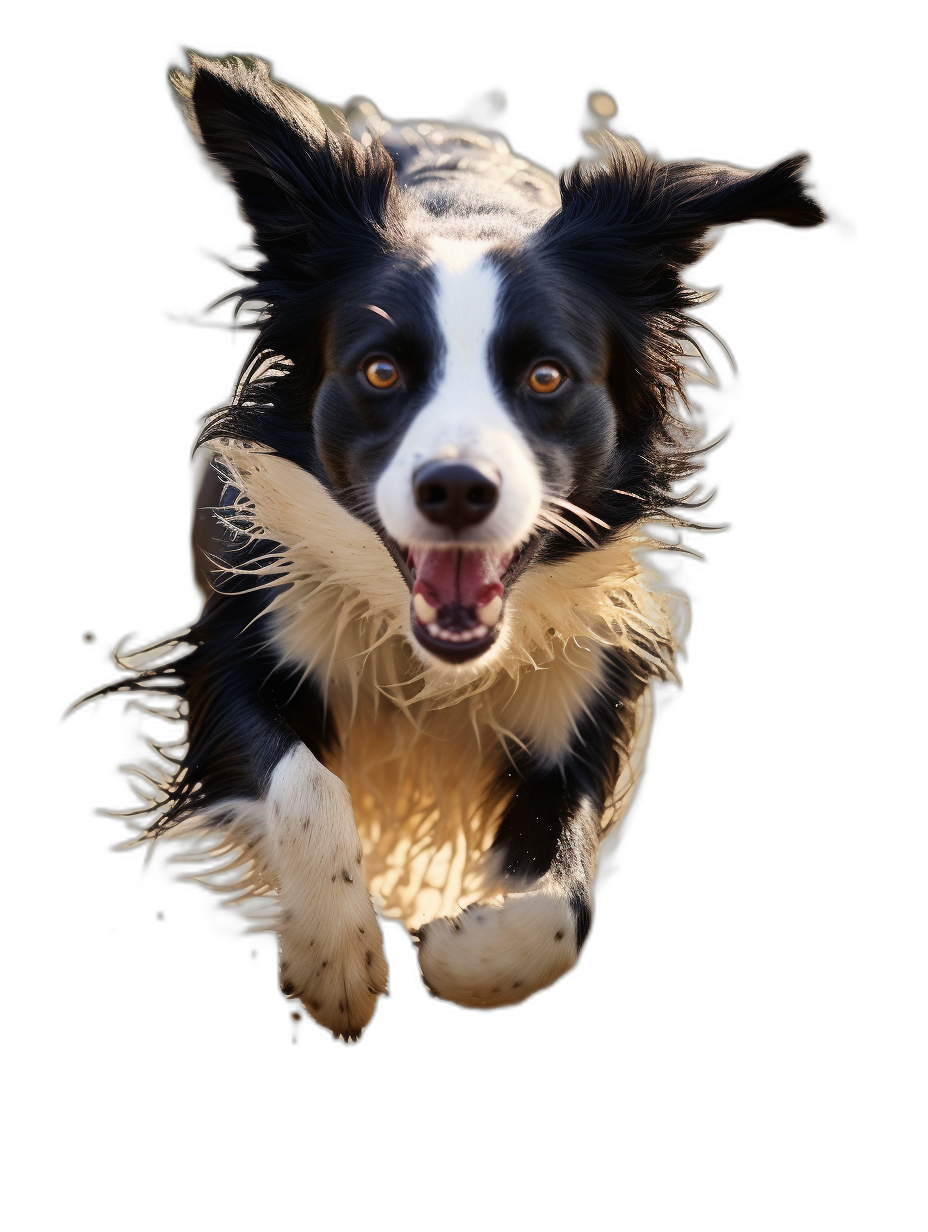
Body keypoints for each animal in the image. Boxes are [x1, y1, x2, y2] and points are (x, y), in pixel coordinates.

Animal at [88, 57, 823, 1039]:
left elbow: (558, 909)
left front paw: (465, 951)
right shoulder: (236, 636)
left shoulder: (583, 685)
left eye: (546, 376)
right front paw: (335, 956)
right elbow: (303, 781)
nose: (458, 490)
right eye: (380, 370)